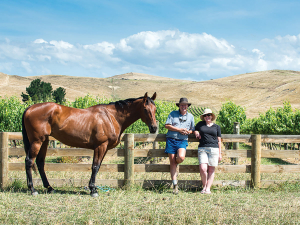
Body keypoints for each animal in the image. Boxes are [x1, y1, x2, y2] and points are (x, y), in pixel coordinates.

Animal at [21, 92, 157, 196]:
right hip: (37, 141)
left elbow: (98, 166)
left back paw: (50, 188)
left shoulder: (104, 148)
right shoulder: (100, 146)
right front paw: (93, 190)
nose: (154, 128)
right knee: (29, 161)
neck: (111, 116)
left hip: (44, 141)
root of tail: (29, 109)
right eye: (145, 109)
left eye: (155, 109)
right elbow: (95, 166)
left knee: (40, 163)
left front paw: (94, 188)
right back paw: (32, 189)